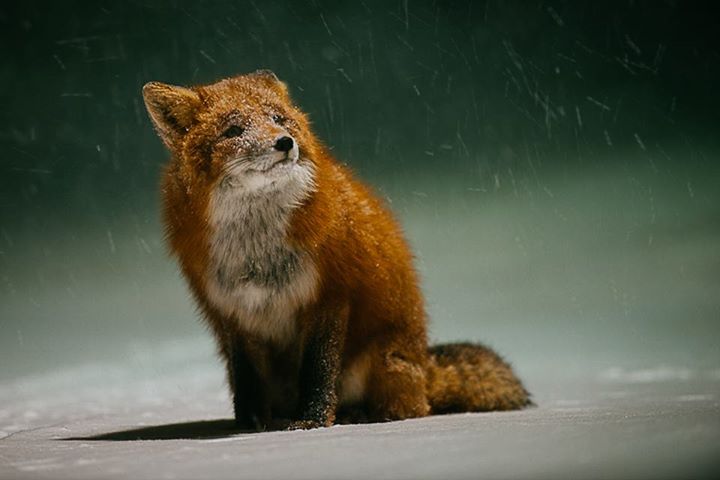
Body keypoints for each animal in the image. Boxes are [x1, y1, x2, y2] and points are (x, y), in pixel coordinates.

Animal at [142, 70, 531, 430]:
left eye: (278, 118)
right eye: (234, 130)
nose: (285, 142)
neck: (257, 252)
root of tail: (423, 362)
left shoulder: (330, 295)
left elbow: (318, 371)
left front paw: (312, 422)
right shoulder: (233, 312)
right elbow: (247, 381)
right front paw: (248, 428)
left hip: (379, 361)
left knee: (407, 410)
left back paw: (359, 415)